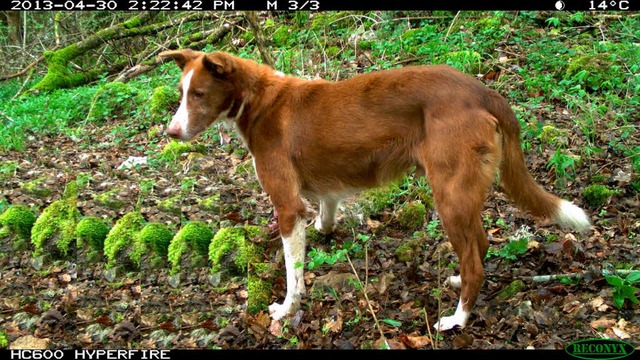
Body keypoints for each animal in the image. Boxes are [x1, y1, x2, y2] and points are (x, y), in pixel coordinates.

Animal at [158, 49, 588, 330]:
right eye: (181, 94)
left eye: (198, 95)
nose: (171, 133)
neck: (260, 101)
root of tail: (485, 91)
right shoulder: (322, 193)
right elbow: (325, 215)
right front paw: (324, 231)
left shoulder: (286, 206)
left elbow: (293, 273)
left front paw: (286, 309)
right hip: (462, 194)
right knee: (479, 244)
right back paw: (457, 286)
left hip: (448, 195)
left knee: (475, 263)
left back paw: (458, 318)